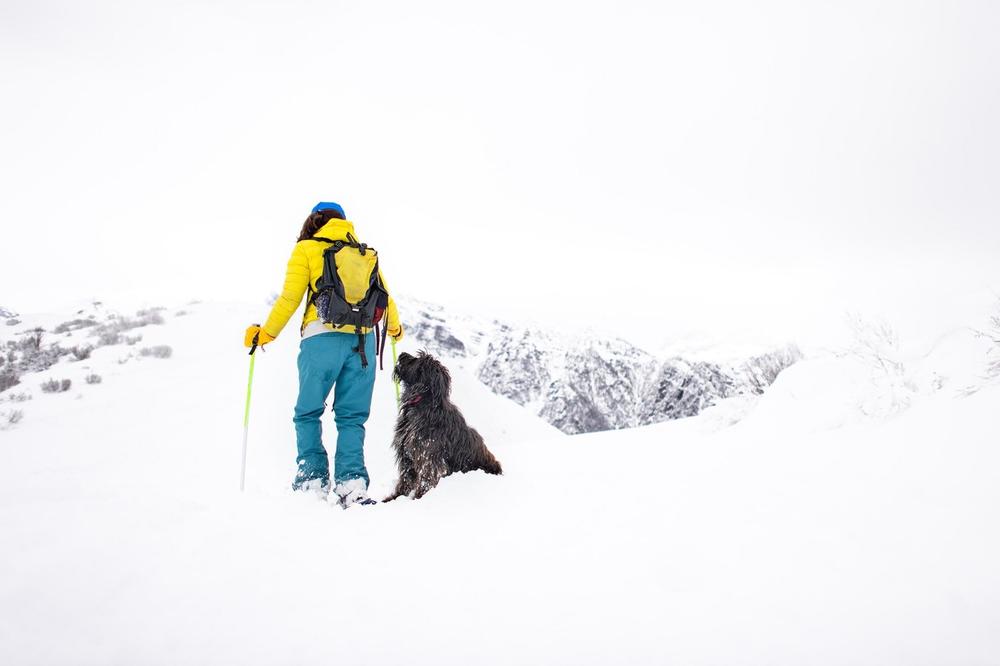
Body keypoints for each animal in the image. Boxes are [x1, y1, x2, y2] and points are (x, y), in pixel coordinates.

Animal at [386, 348, 504, 498]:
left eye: (417, 360)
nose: (402, 354)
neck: (424, 403)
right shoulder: (406, 456)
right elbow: (406, 479)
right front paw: (394, 497)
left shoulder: (428, 458)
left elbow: (426, 481)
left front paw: (418, 498)